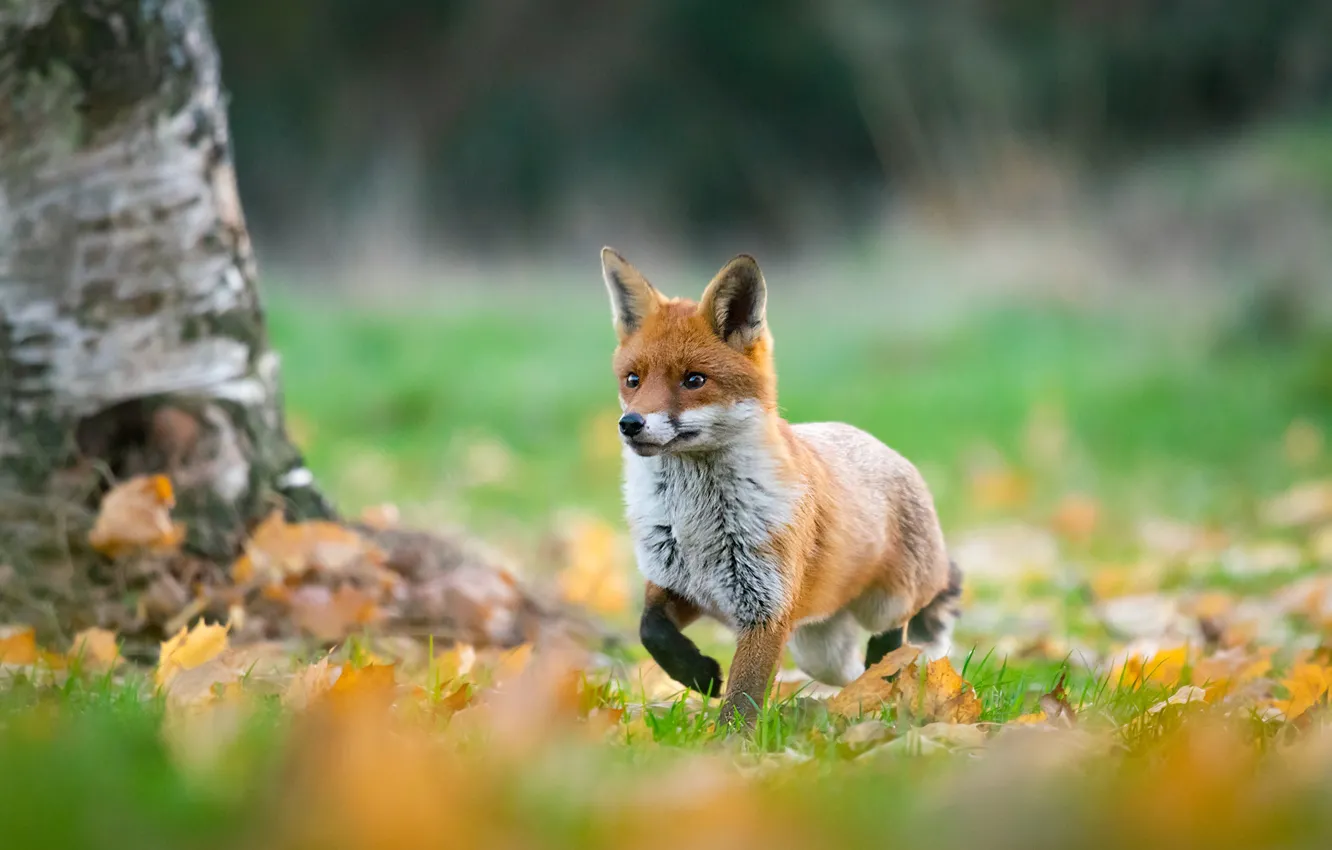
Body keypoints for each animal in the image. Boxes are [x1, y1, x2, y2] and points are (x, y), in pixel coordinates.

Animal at [600, 247, 962, 727]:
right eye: (633, 380)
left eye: (694, 380)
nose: (631, 423)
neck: (696, 526)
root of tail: (880, 444)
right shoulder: (680, 585)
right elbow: (650, 630)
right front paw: (698, 674)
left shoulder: (765, 610)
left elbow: (743, 698)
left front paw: (728, 742)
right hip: (817, 650)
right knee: (849, 672)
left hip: (884, 604)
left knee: (894, 641)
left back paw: (884, 679)